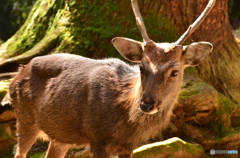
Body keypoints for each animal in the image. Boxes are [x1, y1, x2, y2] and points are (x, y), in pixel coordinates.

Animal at [9, 0, 216, 158]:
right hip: (24, 118)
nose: (147, 104)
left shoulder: (129, 146)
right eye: (141, 66)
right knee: (19, 152)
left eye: (174, 71)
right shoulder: (97, 138)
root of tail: (17, 73)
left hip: (60, 135)